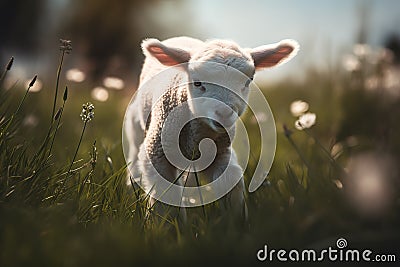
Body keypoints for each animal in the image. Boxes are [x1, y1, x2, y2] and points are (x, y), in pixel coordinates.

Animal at [123, 35, 298, 221]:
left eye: (248, 81)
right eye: (197, 82)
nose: (224, 114)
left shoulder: (221, 153)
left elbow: (229, 183)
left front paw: (235, 223)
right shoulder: (157, 153)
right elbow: (166, 199)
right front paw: (167, 224)